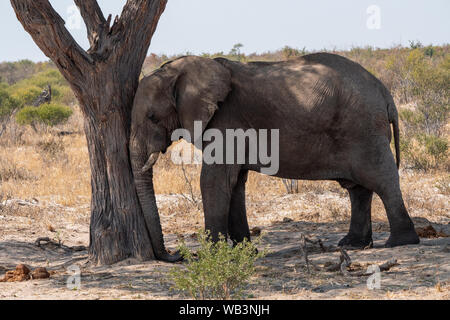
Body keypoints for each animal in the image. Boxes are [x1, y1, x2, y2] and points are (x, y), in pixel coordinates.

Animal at [131, 53, 422, 262]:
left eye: (152, 117)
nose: (177, 255)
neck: (182, 69)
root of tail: (385, 92)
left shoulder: (227, 122)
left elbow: (214, 180)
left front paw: (211, 255)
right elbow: (235, 183)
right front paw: (244, 253)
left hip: (364, 129)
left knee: (381, 179)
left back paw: (401, 242)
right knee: (358, 188)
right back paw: (353, 244)